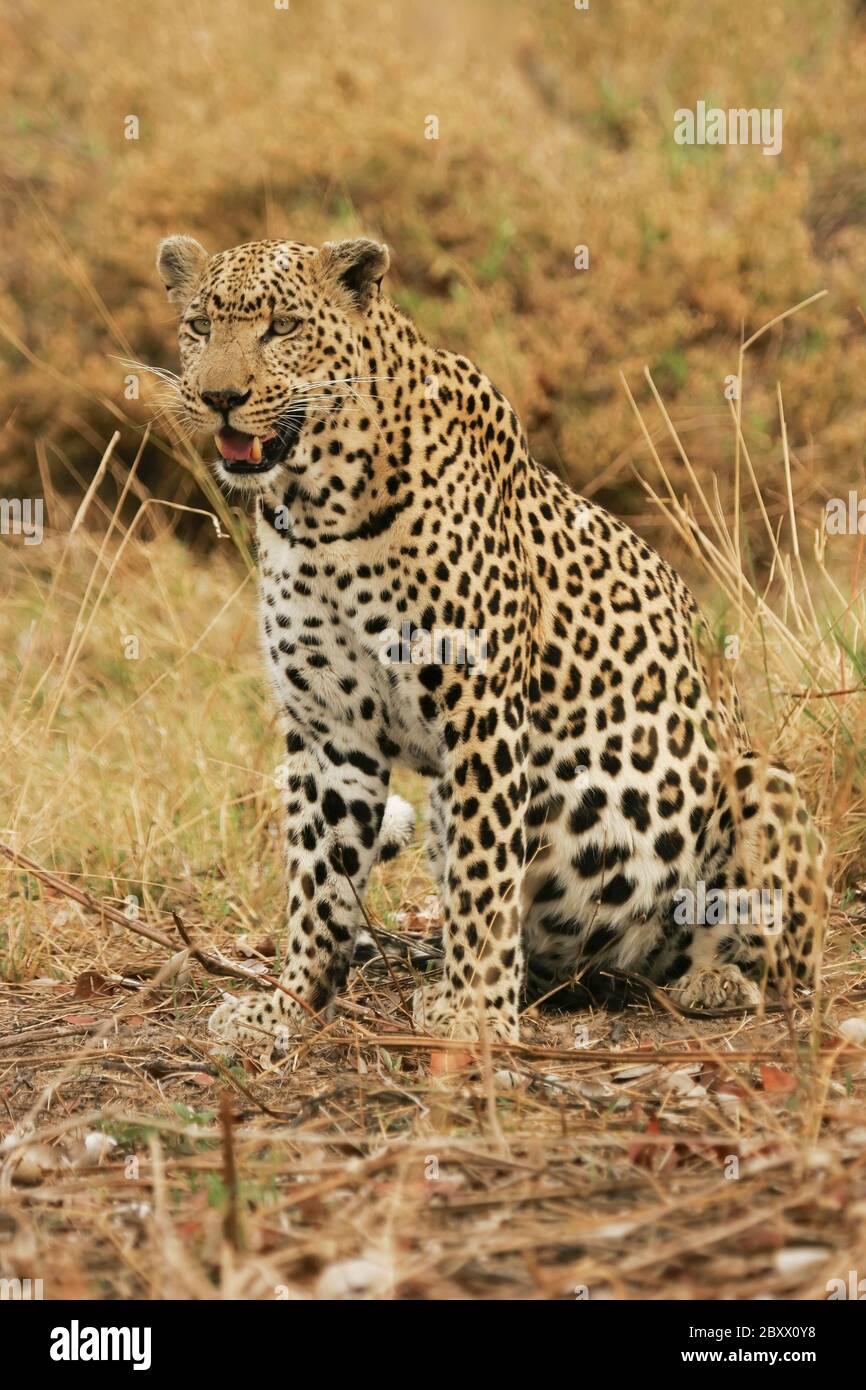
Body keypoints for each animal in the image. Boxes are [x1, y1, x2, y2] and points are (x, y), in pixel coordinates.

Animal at [152, 236, 828, 1045]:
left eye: (282, 327)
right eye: (198, 326)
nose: (218, 395)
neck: (317, 512)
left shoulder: (479, 714)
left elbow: (482, 876)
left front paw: (476, 1017)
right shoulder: (328, 729)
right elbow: (318, 879)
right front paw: (288, 1004)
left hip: (763, 783)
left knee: (780, 960)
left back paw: (714, 980)